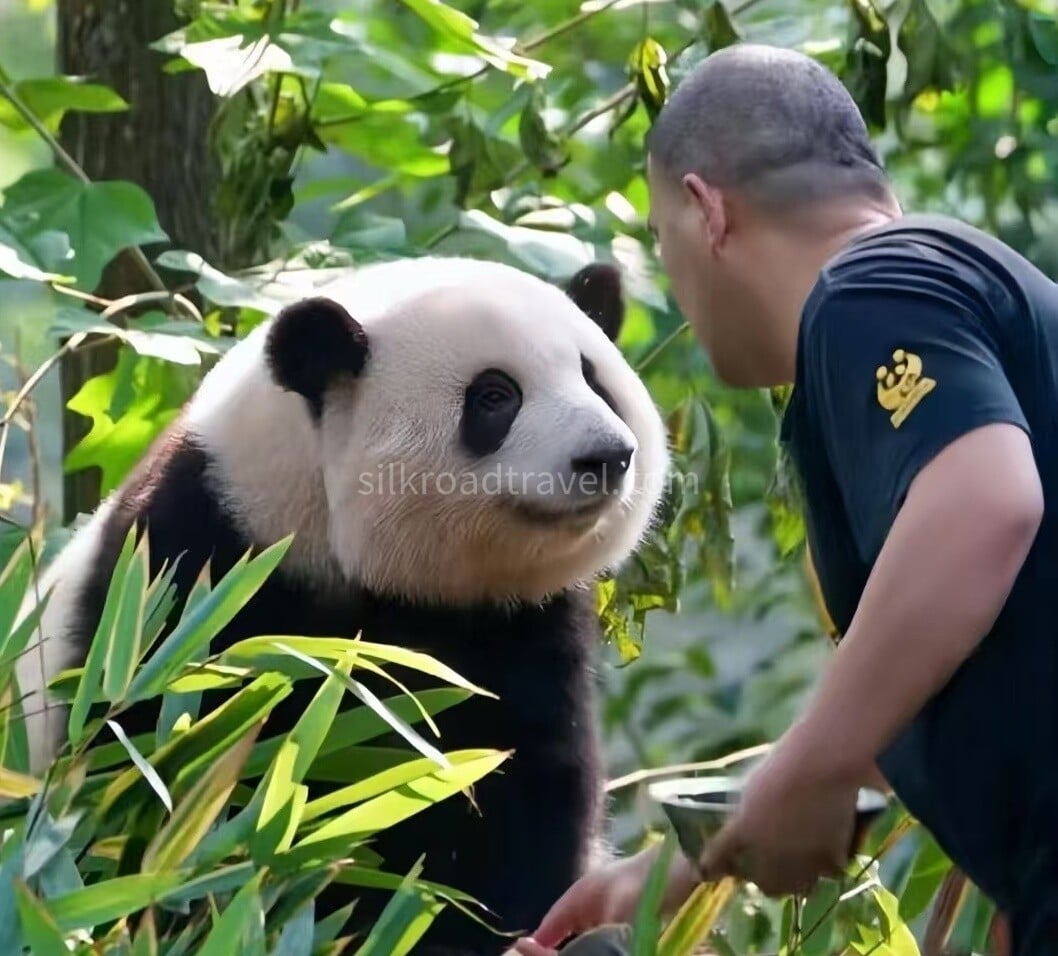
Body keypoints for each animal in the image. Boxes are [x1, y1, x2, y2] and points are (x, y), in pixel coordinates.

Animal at [15, 256, 671, 954]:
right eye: (495, 396)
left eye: (594, 379)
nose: (607, 456)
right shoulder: (191, 574)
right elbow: (167, 773)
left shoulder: (521, 623)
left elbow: (524, 786)